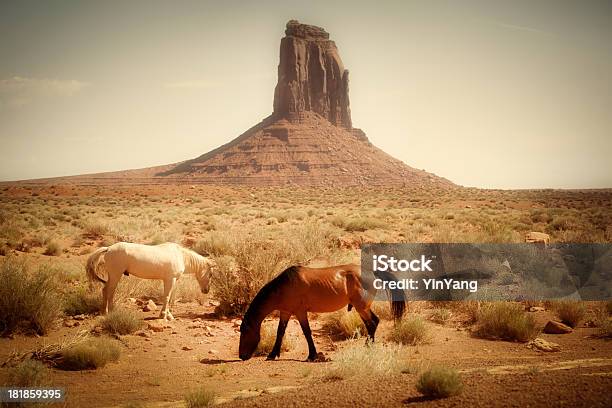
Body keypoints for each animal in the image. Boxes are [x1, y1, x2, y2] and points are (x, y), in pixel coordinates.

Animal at [86, 241, 215, 320]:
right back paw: (110, 311)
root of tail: (108, 248)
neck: (181, 256)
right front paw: (164, 315)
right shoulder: (170, 280)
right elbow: (167, 297)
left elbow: (170, 297)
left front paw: (168, 315)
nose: (206, 290)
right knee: (109, 291)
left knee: (105, 290)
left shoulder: (172, 281)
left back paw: (106, 312)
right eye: (211, 274)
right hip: (115, 275)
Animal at [239, 264, 406, 360]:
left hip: (361, 307)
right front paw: (273, 354)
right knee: (373, 322)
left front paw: (312, 355)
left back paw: (368, 346)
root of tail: (371, 272)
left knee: (371, 323)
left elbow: (307, 332)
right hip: (362, 308)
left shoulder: (300, 312)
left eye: (244, 332)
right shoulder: (285, 312)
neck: (284, 287)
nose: (242, 356)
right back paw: (369, 345)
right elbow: (280, 332)